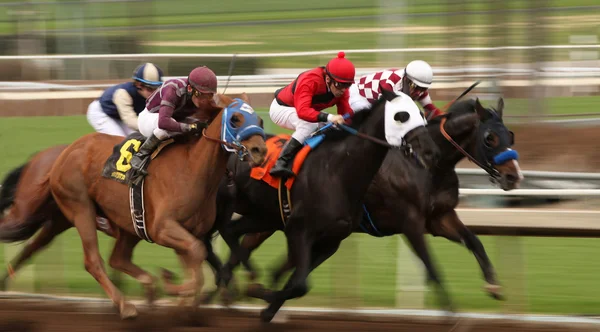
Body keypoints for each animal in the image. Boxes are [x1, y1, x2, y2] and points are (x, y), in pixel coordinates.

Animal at [0, 94, 268, 320]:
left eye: (260, 120)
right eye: (235, 119)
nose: (260, 151)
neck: (192, 168)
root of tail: (64, 153)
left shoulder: (190, 231)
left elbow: (196, 260)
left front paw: (185, 304)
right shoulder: (163, 228)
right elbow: (197, 255)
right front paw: (175, 288)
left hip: (112, 221)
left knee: (106, 256)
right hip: (80, 207)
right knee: (93, 261)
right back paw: (126, 305)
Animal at [204, 95, 524, 312]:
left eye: (510, 134)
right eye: (490, 137)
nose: (514, 176)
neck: (426, 165)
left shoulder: (439, 217)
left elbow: (474, 241)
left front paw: (493, 284)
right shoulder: (410, 221)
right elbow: (432, 267)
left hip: (270, 219)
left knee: (246, 251)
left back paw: (230, 291)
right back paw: (224, 292)